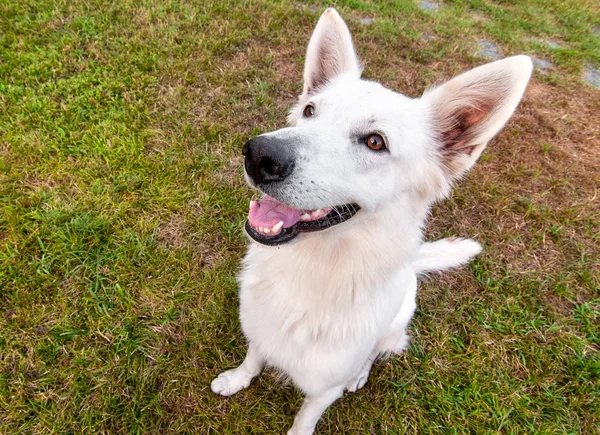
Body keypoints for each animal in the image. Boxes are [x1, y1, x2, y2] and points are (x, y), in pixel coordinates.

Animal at [210, 7, 528, 435]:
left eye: (375, 142)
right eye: (310, 111)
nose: (259, 154)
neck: (309, 274)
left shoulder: (324, 389)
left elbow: (304, 419)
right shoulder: (260, 331)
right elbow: (253, 357)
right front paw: (237, 379)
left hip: (395, 326)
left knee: (375, 353)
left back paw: (361, 374)